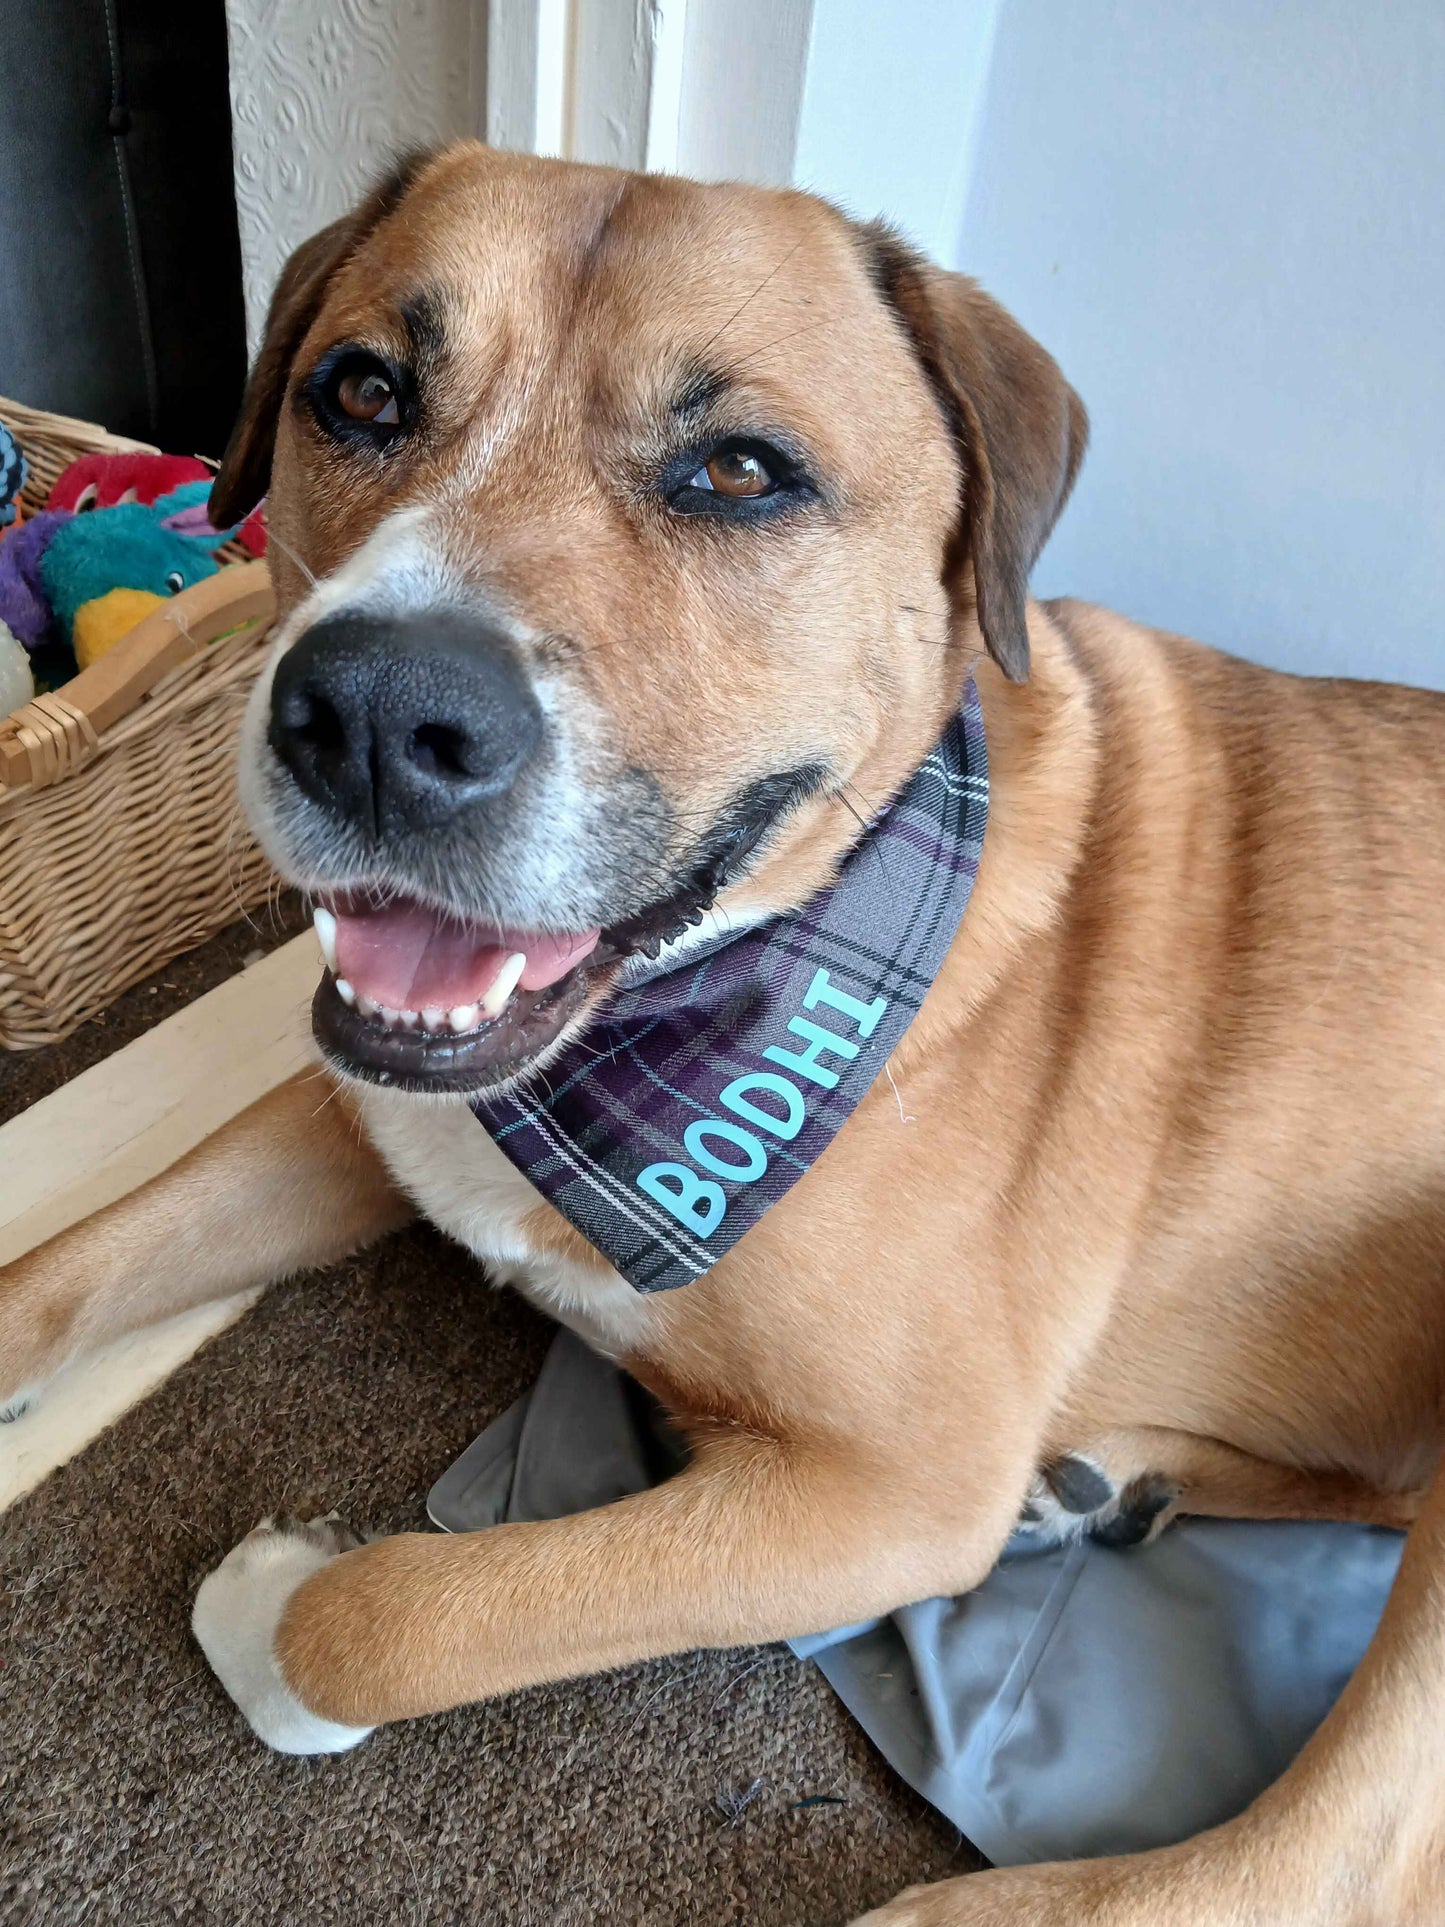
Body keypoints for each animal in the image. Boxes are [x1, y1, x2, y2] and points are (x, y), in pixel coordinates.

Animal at [2, 142, 1445, 1919]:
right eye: (362, 389)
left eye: (741, 471)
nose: (370, 718)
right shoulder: (363, 1121)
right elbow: (74, 1259)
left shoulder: (885, 1496)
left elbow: (389, 1615)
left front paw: (274, 1624)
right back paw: (1121, 1478)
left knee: (1348, 1841)